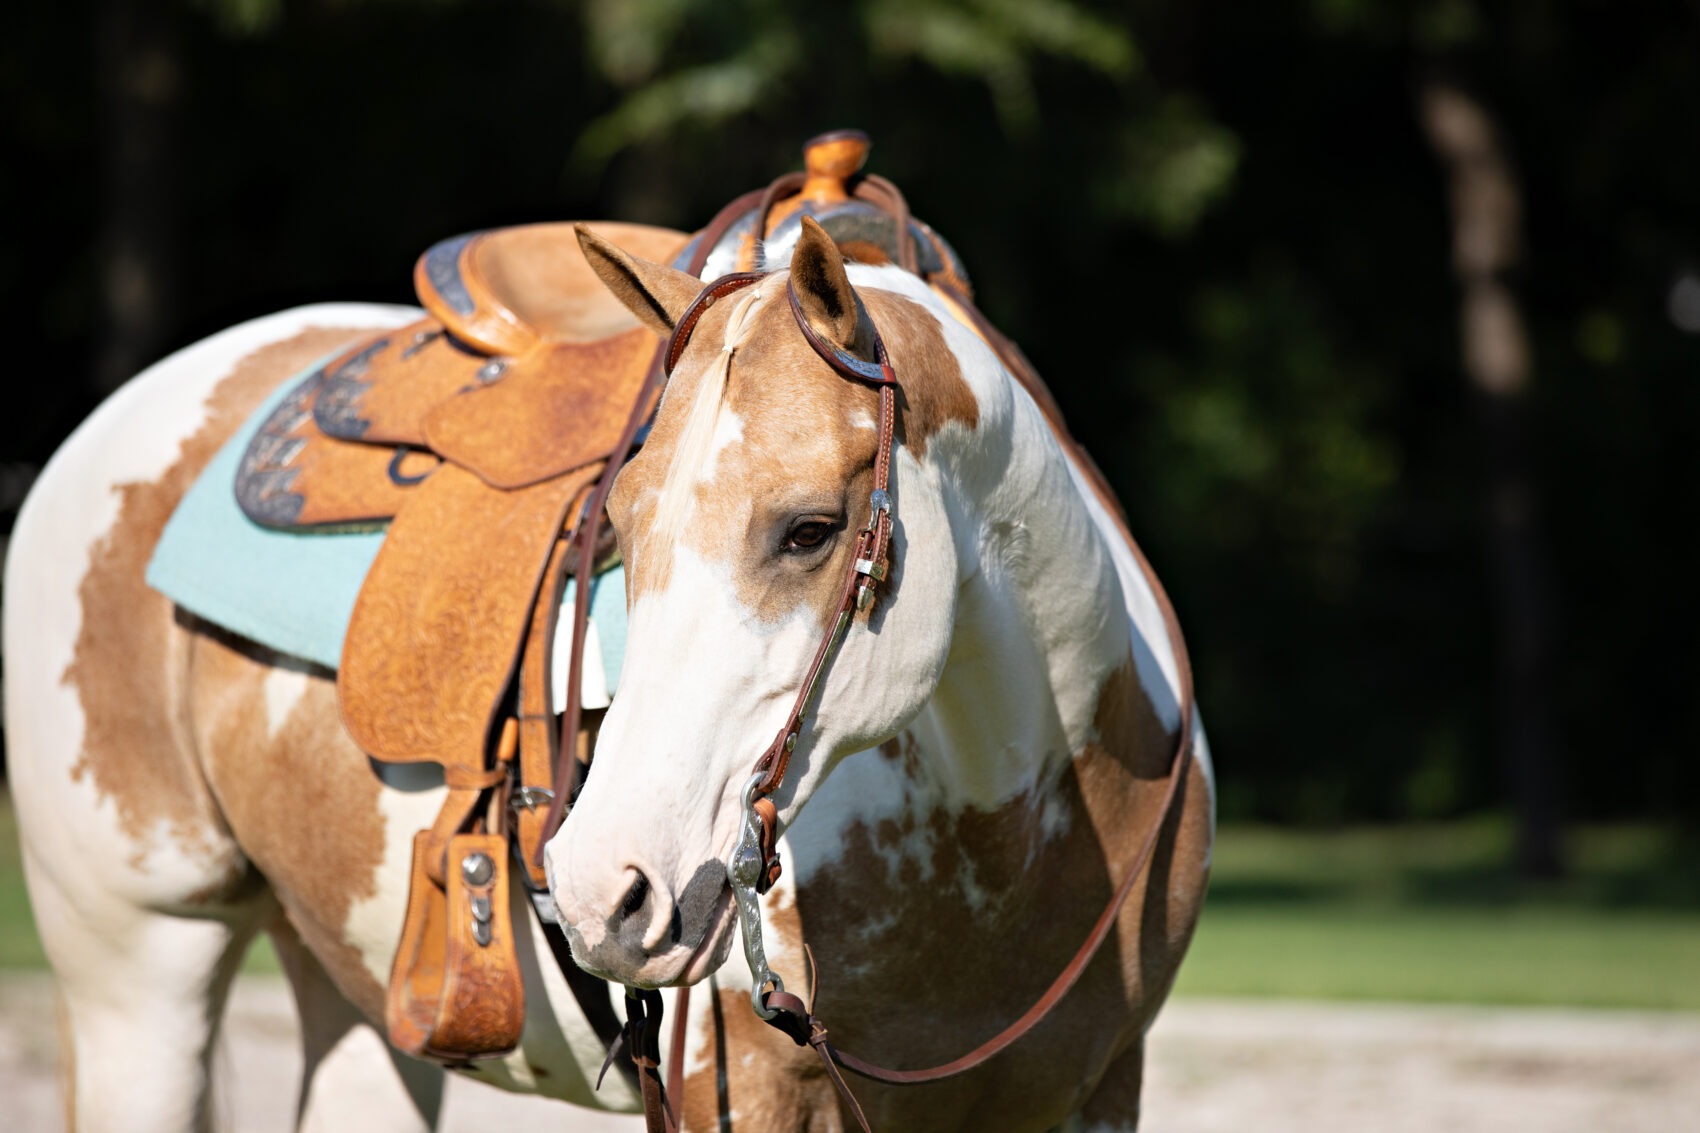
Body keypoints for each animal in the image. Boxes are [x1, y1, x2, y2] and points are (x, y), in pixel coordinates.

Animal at [5, 214, 1213, 1131]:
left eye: (810, 530)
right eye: (619, 525)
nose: (601, 888)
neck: (1004, 838)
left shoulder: (1102, 1087)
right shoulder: (743, 1090)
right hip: (140, 973)